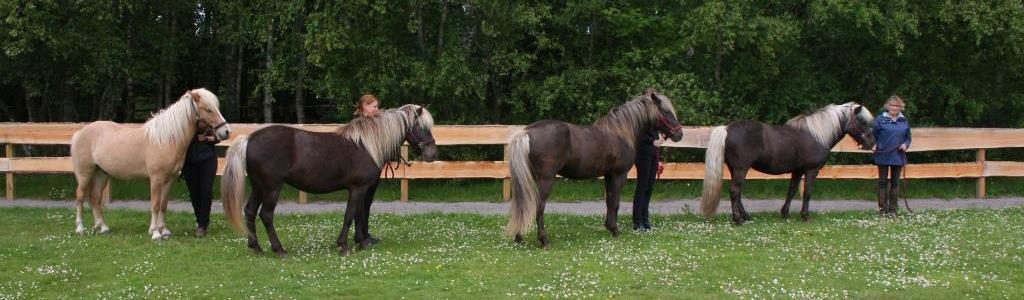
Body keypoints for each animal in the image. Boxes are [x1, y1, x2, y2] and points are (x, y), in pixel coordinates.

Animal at [222, 103, 434, 254]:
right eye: (421, 127)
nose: (432, 153)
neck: (366, 145)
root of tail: (249, 139)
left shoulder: (362, 189)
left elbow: (359, 214)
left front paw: (362, 241)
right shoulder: (357, 188)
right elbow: (351, 215)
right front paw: (344, 245)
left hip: (259, 186)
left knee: (250, 211)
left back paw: (256, 247)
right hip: (272, 187)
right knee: (266, 215)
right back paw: (279, 249)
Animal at [505, 87, 684, 246]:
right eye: (666, 111)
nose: (679, 134)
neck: (621, 131)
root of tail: (527, 132)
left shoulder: (608, 175)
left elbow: (609, 201)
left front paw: (609, 227)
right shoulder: (619, 174)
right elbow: (616, 202)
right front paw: (615, 230)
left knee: (523, 204)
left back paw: (519, 237)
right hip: (546, 180)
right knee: (538, 207)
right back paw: (544, 240)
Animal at [700, 101, 876, 223]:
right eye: (861, 120)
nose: (871, 141)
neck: (816, 135)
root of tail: (727, 129)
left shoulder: (797, 170)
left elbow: (791, 190)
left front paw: (784, 213)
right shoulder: (811, 170)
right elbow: (807, 192)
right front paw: (805, 216)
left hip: (734, 169)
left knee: (737, 192)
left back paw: (745, 216)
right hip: (741, 168)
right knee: (735, 191)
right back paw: (738, 219)